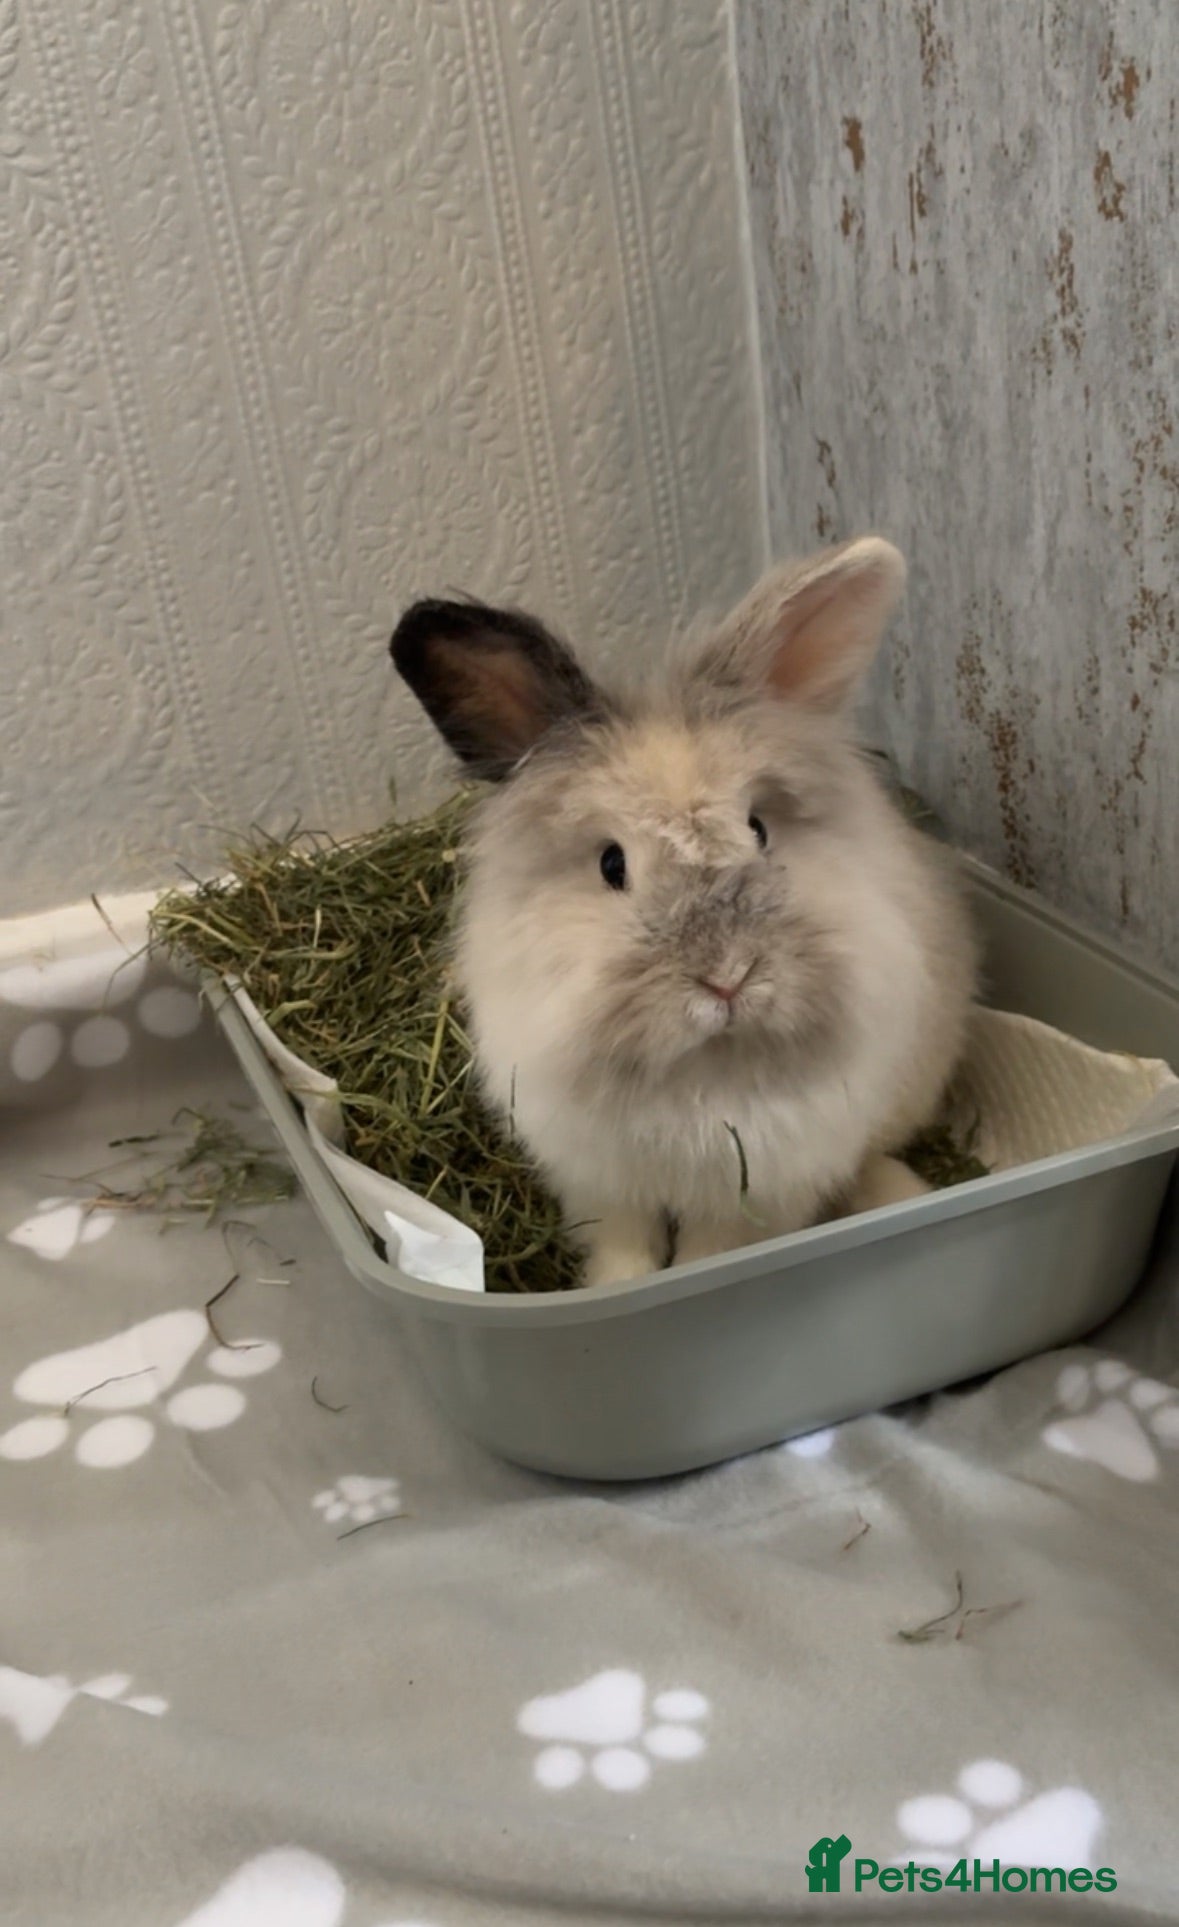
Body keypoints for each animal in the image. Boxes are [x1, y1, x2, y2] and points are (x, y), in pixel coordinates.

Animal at [390, 537, 979, 1288]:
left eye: (758, 828)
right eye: (612, 865)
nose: (727, 978)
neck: (702, 1070)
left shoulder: (754, 1192)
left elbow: (708, 1256)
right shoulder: (601, 1183)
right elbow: (625, 1249)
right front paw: (615, 1291)